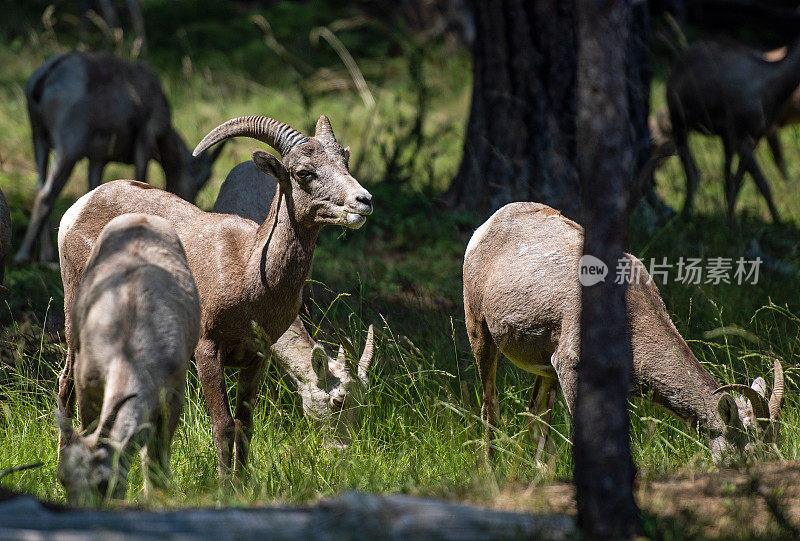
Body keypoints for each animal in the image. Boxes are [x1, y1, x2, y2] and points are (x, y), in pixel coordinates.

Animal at [56, 212, 200, 502]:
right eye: (63, 480)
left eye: (103, 483)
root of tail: (141, 216)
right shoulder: (88, 387)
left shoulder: (174, 395)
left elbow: (156, 454)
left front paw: (156, 494)